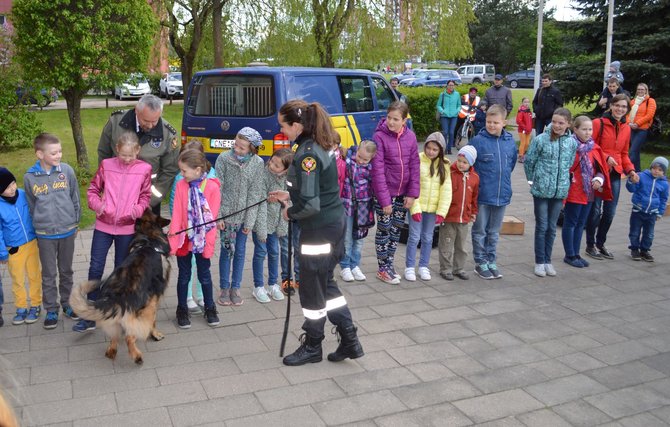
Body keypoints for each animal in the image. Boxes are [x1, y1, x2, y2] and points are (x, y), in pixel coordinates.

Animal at [69, 209, 171, 362]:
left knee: (115, 335)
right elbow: (153, 321)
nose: (146, 206)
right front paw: (155, 334)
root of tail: (116, 295)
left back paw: (112, 350)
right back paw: (137, 356)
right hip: (142, 310)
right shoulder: (154, 299)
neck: (150, 237)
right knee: (129, 336)